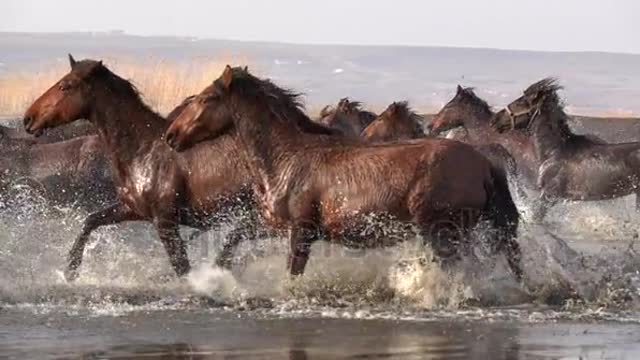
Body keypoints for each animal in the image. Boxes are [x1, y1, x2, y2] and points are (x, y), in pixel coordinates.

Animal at [21, 55, 262, 282]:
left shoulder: (165, 222)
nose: (28, 119)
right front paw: (70, 270)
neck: (143, 149)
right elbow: (91, 221)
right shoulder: (132, 209)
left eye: (65, 85)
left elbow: (182, 267)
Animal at [162, 67, 524, 282]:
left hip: (442, 232)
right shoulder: (273, 225)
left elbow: (292, 274)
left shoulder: (301, 231)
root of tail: (484, 163)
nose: (170, 135)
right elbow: (232, 242)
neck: (287, 158)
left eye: (206, 98)